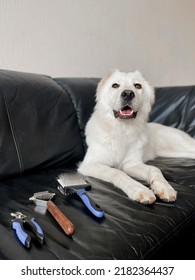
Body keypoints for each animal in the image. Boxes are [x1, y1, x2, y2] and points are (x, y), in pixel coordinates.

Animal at [78, 69, 195, 205]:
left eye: (138, 86)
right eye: (115, 85)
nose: (128, 94)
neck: (123, 129)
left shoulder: (131, 164)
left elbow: (155, 169)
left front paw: (165, 188)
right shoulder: (90, 165)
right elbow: (117, 172)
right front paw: (140, 190)